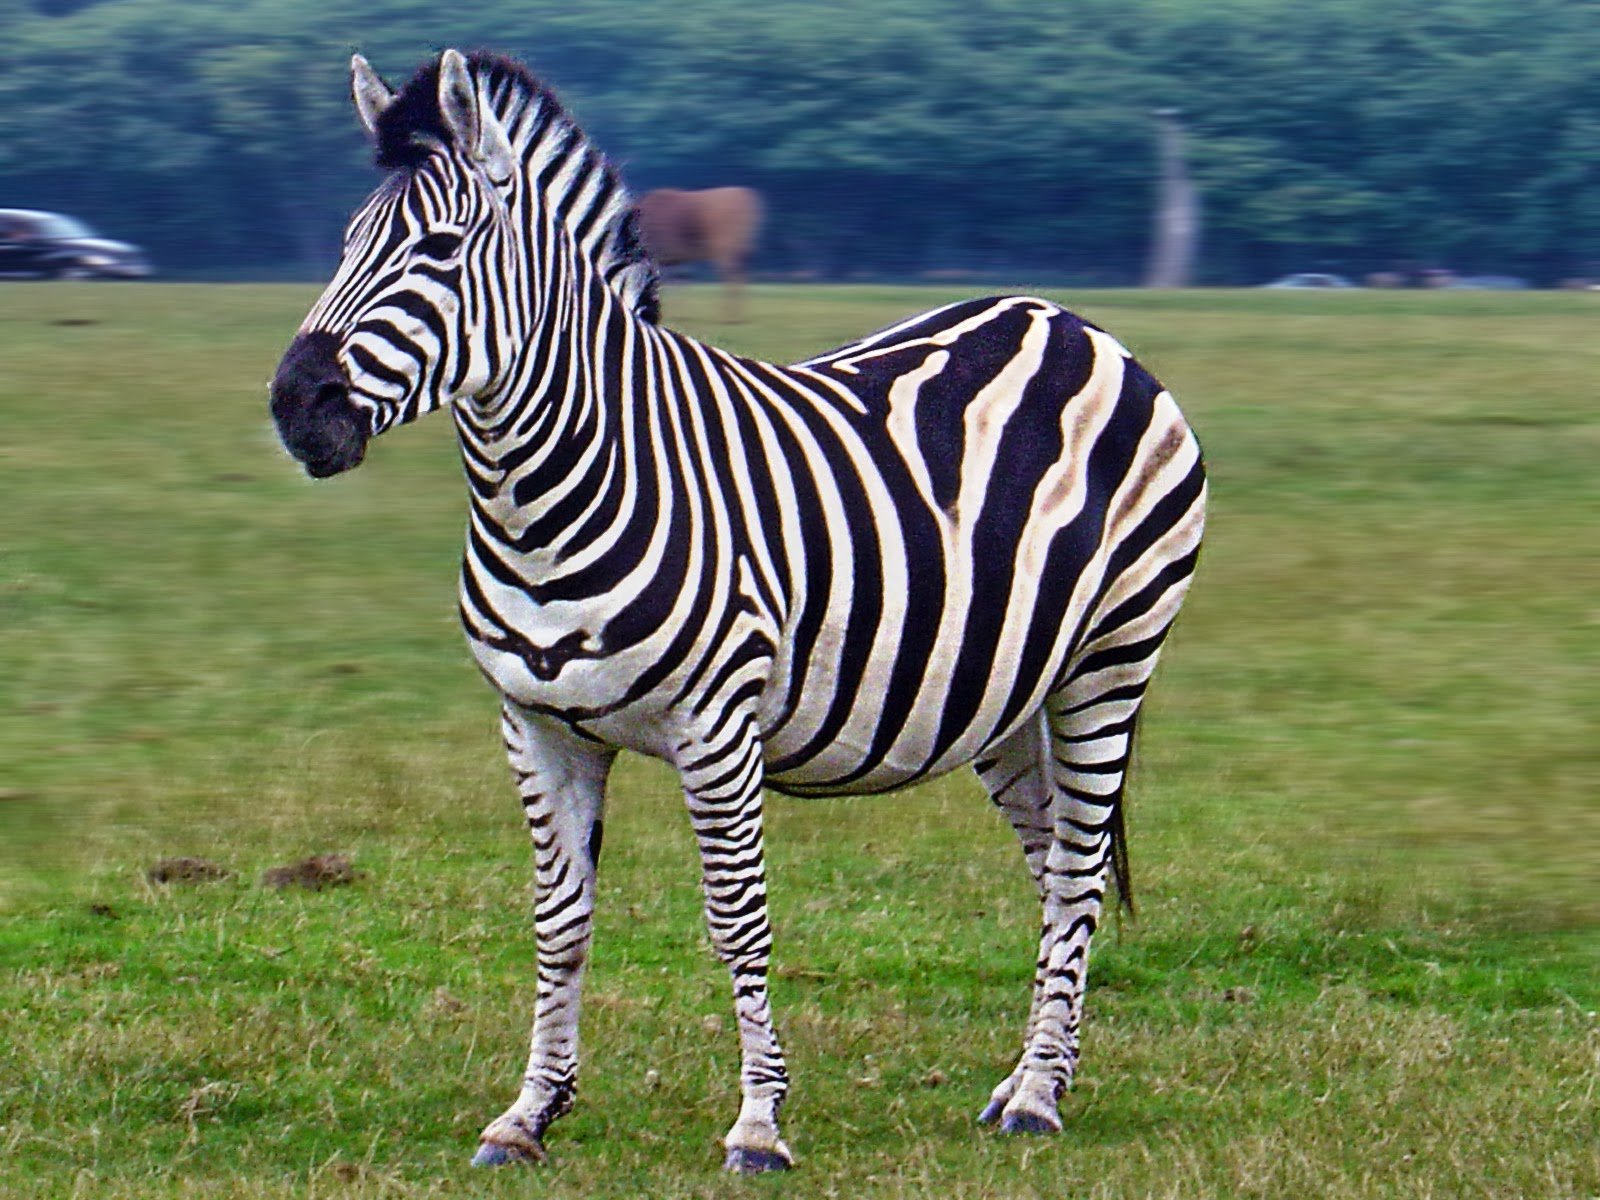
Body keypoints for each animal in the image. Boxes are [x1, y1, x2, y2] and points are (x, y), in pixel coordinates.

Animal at [268, 49, 1206, 1173]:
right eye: (345, 245)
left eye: (441, 248)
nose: (295, 407)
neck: (551, 491)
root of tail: (1068, 320)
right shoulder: (537, 727)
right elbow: (557, 920)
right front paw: (528, 1113)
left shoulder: (716, 726)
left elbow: (735, 920)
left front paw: (759, 1123)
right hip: (1008, 695)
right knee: (1060, 865)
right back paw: (1035, 1078)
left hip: (1113, 658)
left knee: (1075, 869)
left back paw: (1034, 1099)